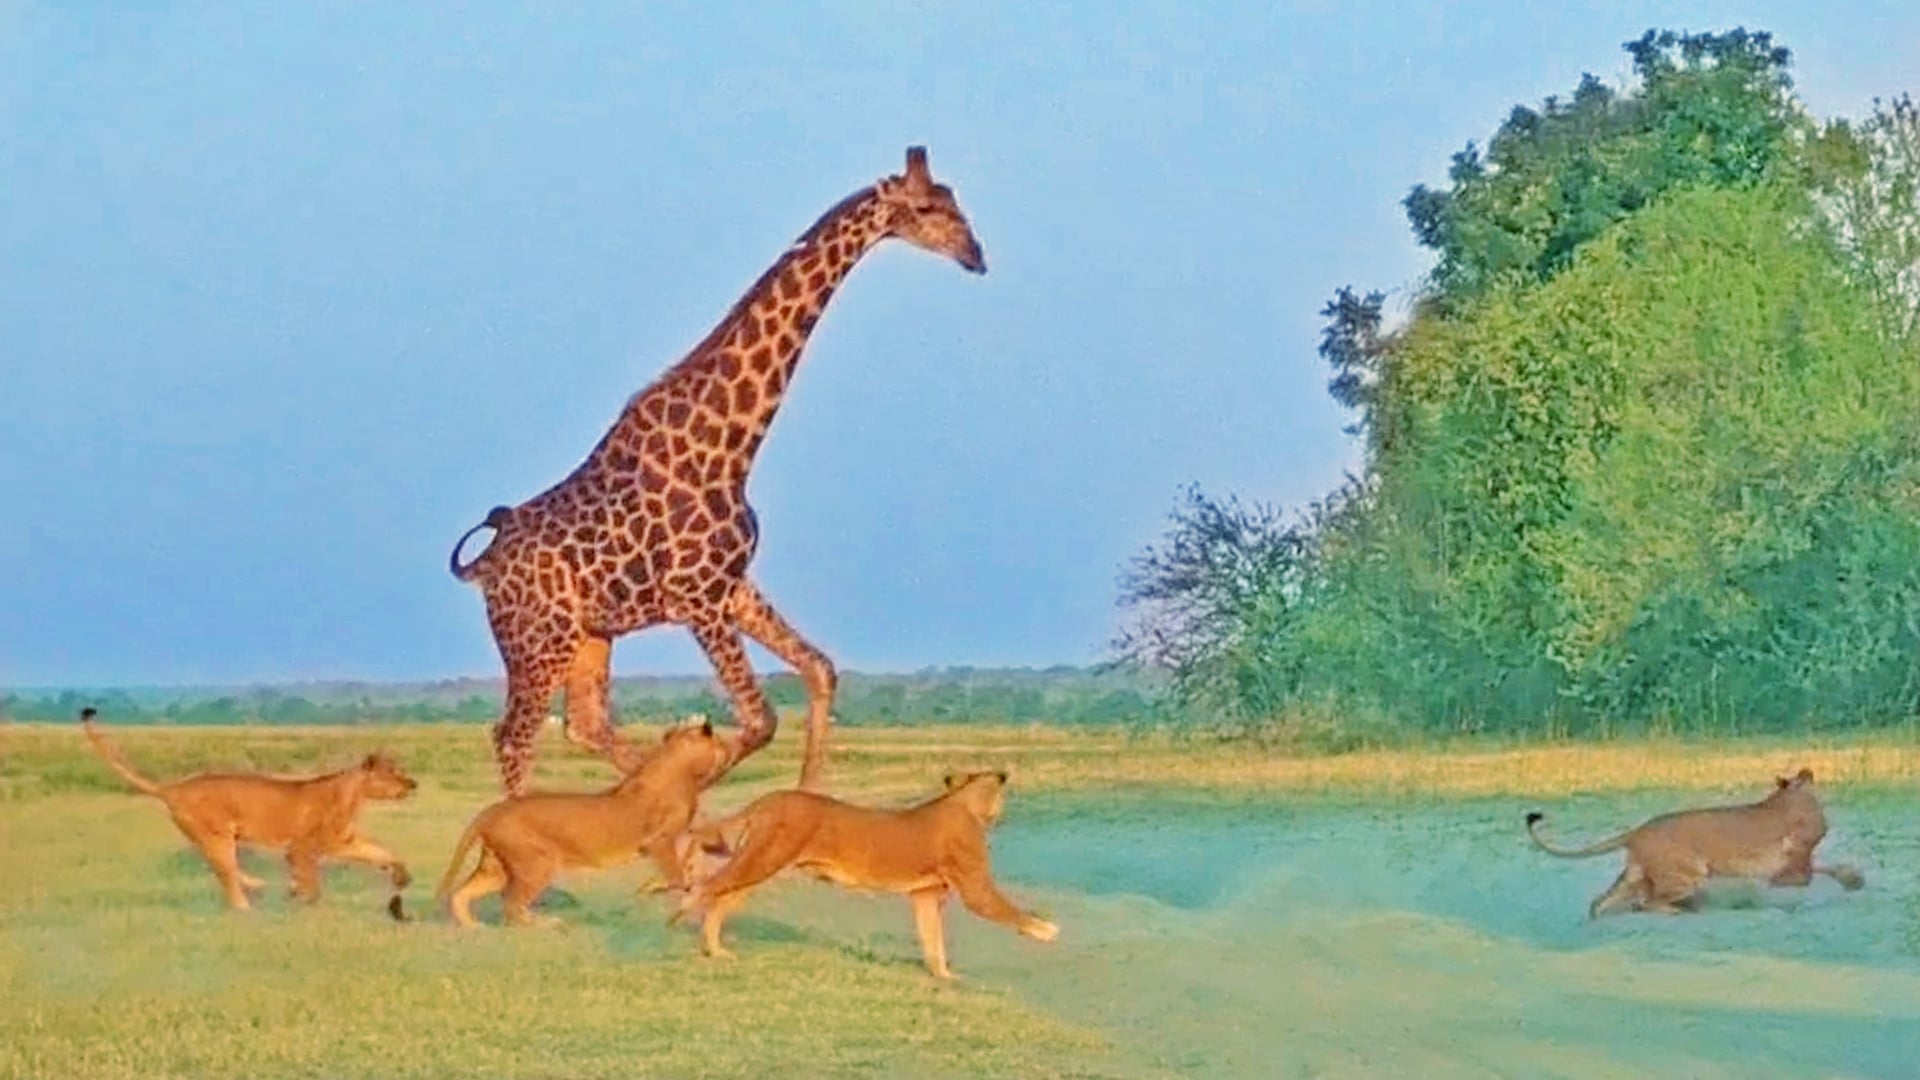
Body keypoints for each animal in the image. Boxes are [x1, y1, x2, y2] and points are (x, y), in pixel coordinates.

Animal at [80, 707, 417, 911]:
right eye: (392, 772)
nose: (413, 783)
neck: (353, 795)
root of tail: (174, 787)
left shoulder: (344, 842)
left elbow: (384, 852)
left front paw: (401, 877)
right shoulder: (300, 848)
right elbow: (312, 881)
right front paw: (303, 899)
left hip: (214, 839)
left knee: (225, 871)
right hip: (216, 836)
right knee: (227, 874)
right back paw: (246, 904)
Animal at [434, 718, 729, 928]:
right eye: (720, 741)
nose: (728, 748)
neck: (683, 769)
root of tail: (492, 809)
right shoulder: (659, 841)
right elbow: (676, 875)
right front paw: (670, 890)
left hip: (496, 867)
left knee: (462, 894)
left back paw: (473, 929)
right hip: (537, 863)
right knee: (511, 903)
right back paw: (547, 924)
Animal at [448, 147, 987, 797]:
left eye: (955, 200)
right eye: (927, 207)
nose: (976, 255)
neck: (732, 447)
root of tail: (483, 568)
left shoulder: (730, 585)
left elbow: (820, 672)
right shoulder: (696, 598)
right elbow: (758, 721)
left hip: (588, 635)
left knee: (583, 723)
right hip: (536, 640)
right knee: (514, 737)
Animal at [670, 770, 1059, 980]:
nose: (1001, 816)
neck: (963, 801)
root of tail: (766, 799)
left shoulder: (924, 895)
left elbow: (932, 939)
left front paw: (945, 976)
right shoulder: (976, 887)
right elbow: (1009, 910)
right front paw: (1046, 931)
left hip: (760, 864)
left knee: (720, 899)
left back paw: (714, 948)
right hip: (762, 859)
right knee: (709, 887)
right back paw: (689, 926)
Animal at [1526, 767, 1865, 918]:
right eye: (1801, 777)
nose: (1808, 769)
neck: (1787, 799)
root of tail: (1638, 830)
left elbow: (1827, 868)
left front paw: (1854, 880)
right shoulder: (1794, 864)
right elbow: (1809, 873)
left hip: (1636, 875)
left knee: (1601, 901)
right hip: (1687, 875)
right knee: (1646, 903)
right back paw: (1679, 911)